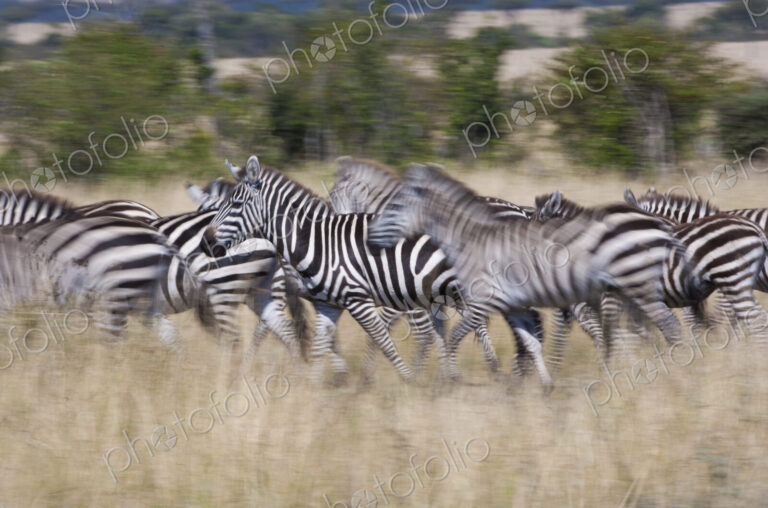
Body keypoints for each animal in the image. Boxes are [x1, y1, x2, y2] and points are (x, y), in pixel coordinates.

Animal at [200, 156, 475, 384]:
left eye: (236, 204)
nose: (206, 242)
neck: (316, 241)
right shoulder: (328, 304)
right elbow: (320, 344)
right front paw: (313, 393)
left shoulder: (359, 299)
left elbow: (384, 339)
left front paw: (408, 381)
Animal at [367, 163, 689, 383]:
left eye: (395, 207)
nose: (370, 239)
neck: (471, 239)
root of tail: (658, 224)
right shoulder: (519, 303)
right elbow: (535, 338)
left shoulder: (487, 301)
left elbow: (456, 336)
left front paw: (453, 377)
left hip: (637, 286)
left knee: (669, 326)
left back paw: (678, 373)